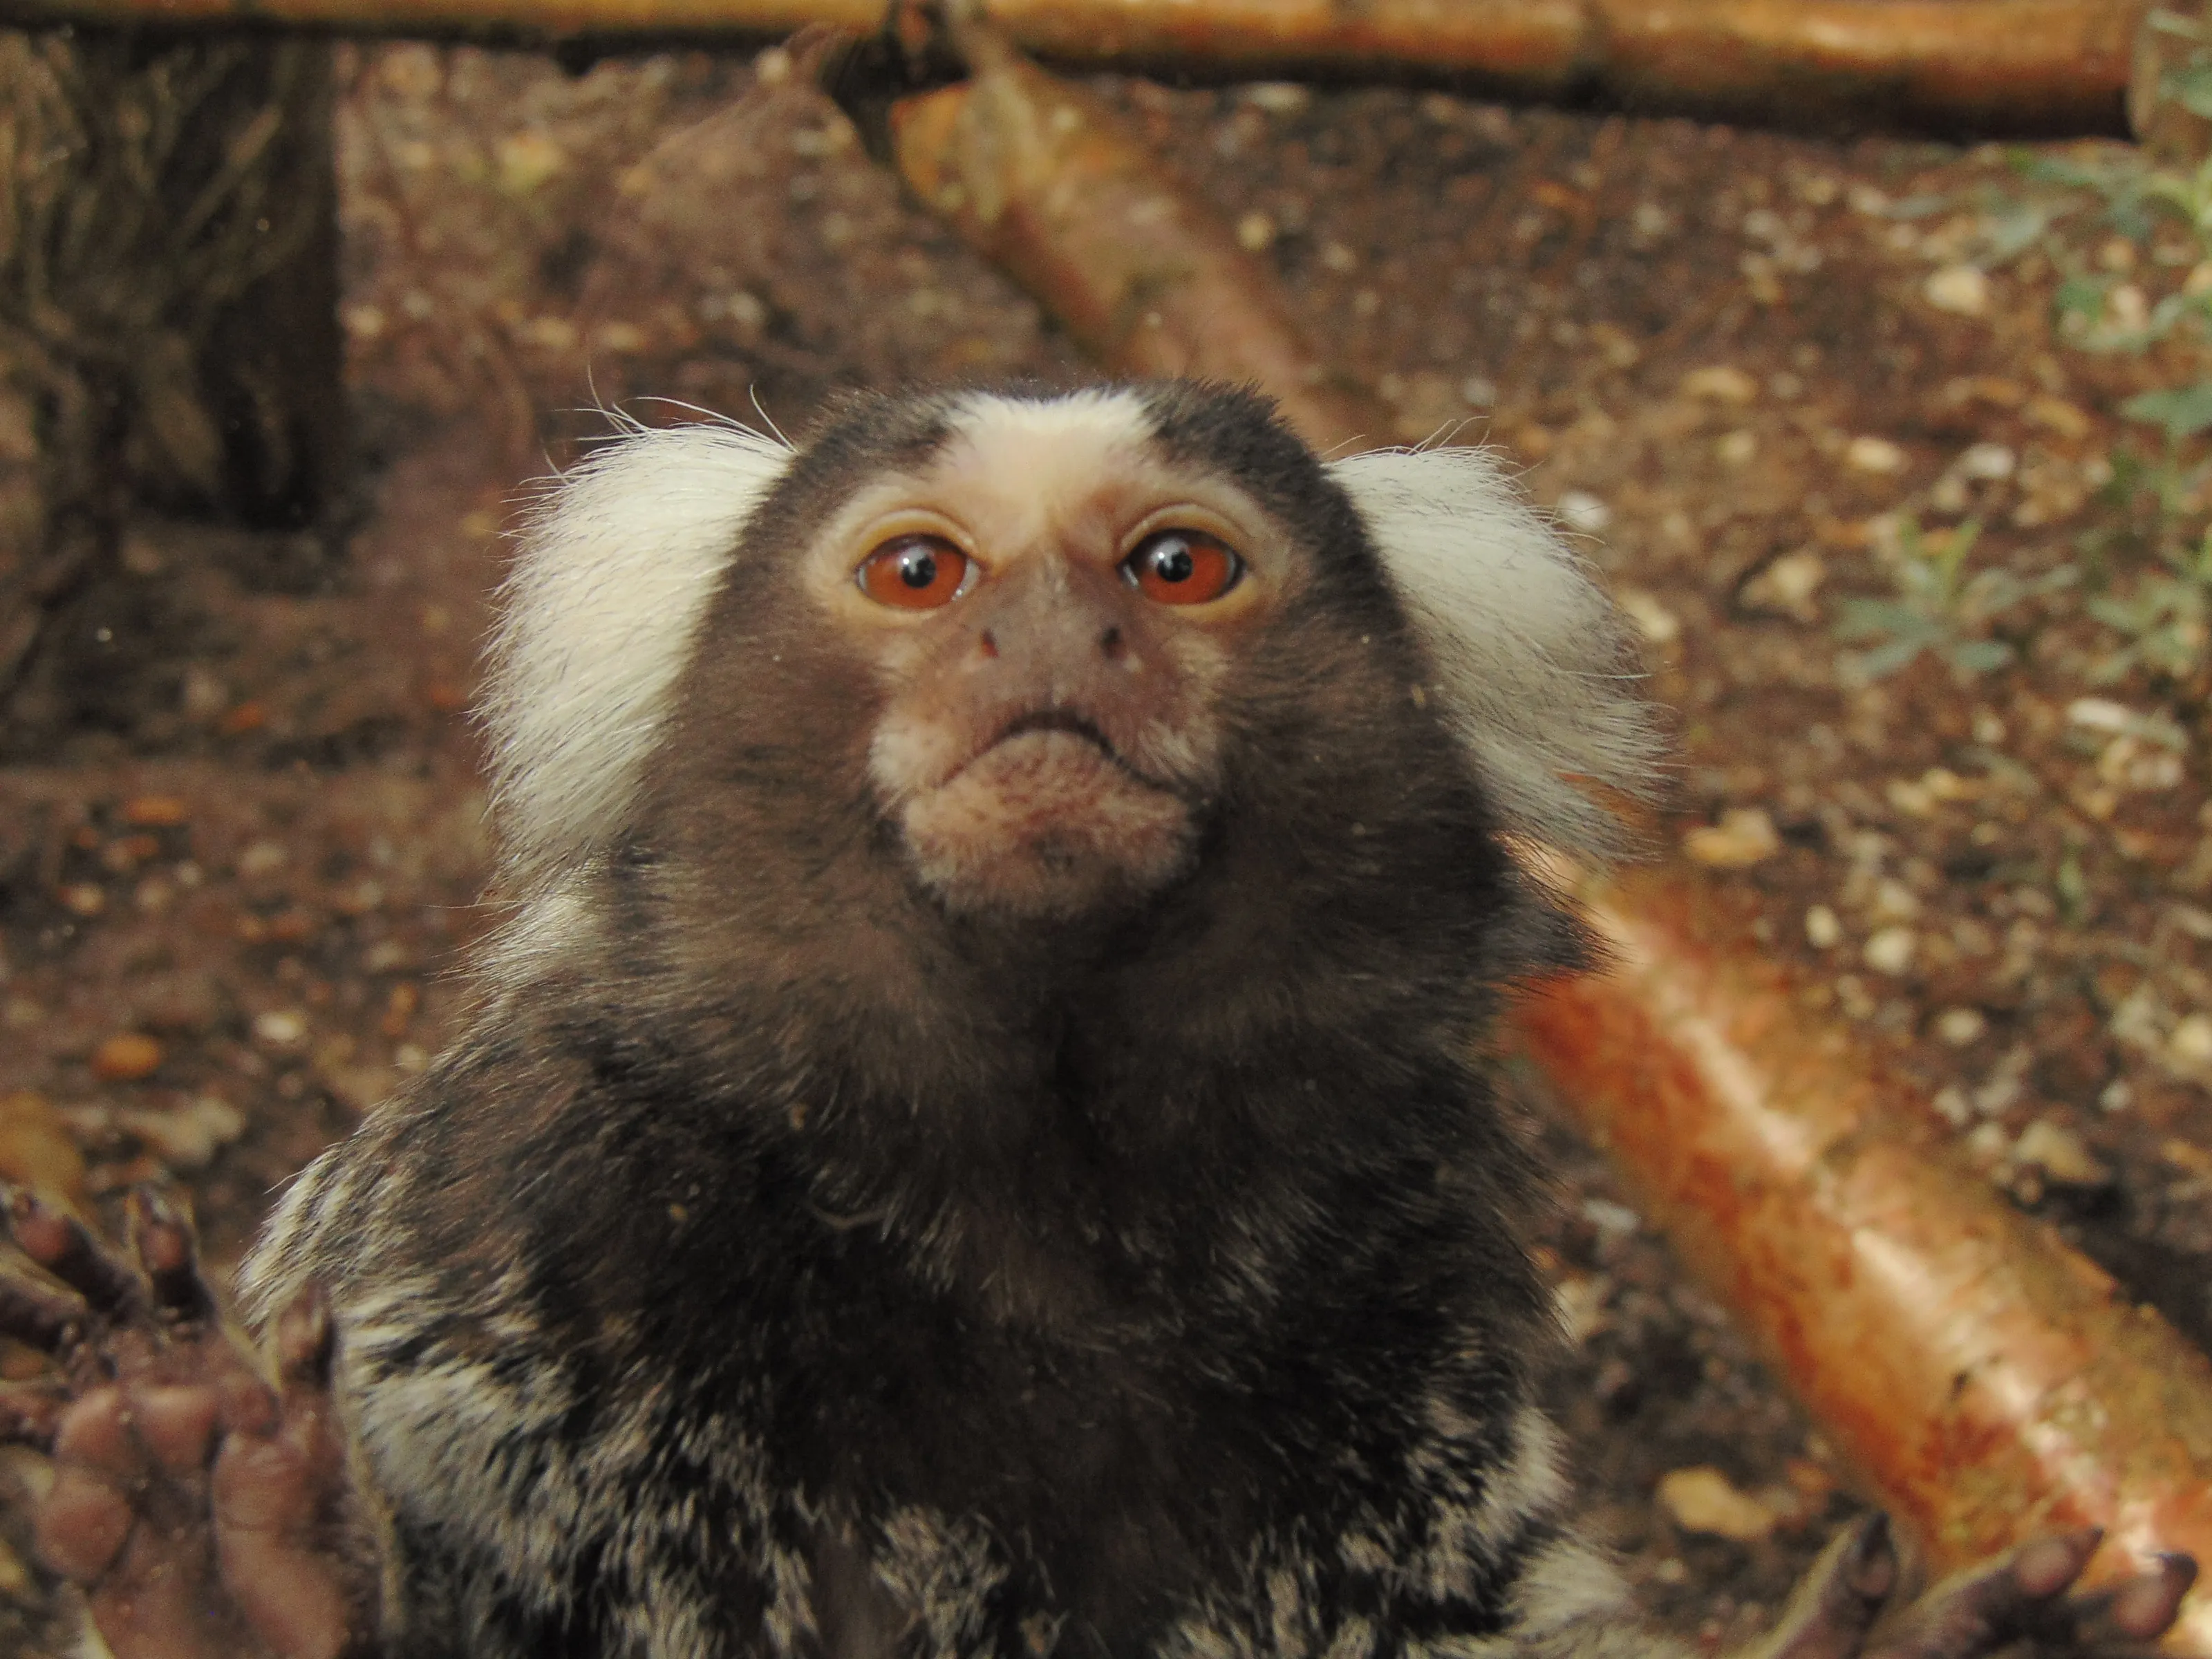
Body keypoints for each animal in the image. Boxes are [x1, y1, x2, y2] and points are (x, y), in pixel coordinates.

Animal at [0, 382, 2195, 1659]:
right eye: (920, 568)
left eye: (1176, 562)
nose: (1057, 630)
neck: (1026, 1204)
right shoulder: (529, 1231)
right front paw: (237, 1564)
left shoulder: (1387, 1303)